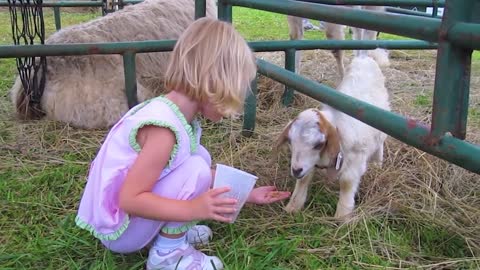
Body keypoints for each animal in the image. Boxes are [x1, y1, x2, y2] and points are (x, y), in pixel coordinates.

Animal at [276, 51, 392, 220]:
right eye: (290, 141)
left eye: (319, 144)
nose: (295, 170)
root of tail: (365, 57)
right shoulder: (307, 163)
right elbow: (304, 179)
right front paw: (293, 207)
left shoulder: (356, 158)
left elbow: (347, 182)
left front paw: (342, 215)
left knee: (380, 141)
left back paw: (378, 163)